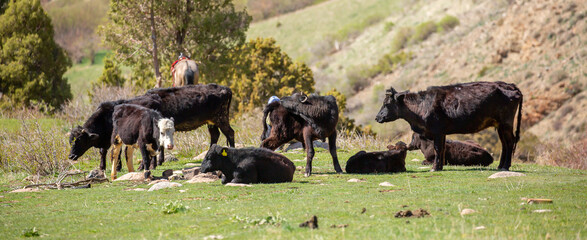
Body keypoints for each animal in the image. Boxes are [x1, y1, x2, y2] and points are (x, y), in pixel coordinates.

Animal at [69, 84, 234, 171]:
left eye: (80, 140)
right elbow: (106, 151)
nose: (70, 156)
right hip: (212, 122)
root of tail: (224, 88)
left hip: (221, 118)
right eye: (71, 140)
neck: (107, 116)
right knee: (215, 136)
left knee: (230, 133)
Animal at [376, 81, 524, 172]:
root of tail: (510, 85)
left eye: (386, 104)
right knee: (504, 144)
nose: (377, 117)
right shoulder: (442, 132)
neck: (422, 106)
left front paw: (434, 167)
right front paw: (440, 166)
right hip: (500, 125)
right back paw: (500, 166)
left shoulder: (437, 130)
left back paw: (505, 166)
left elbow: (437, 148)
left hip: (506, 123)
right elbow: (441, 149)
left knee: (509, 143)